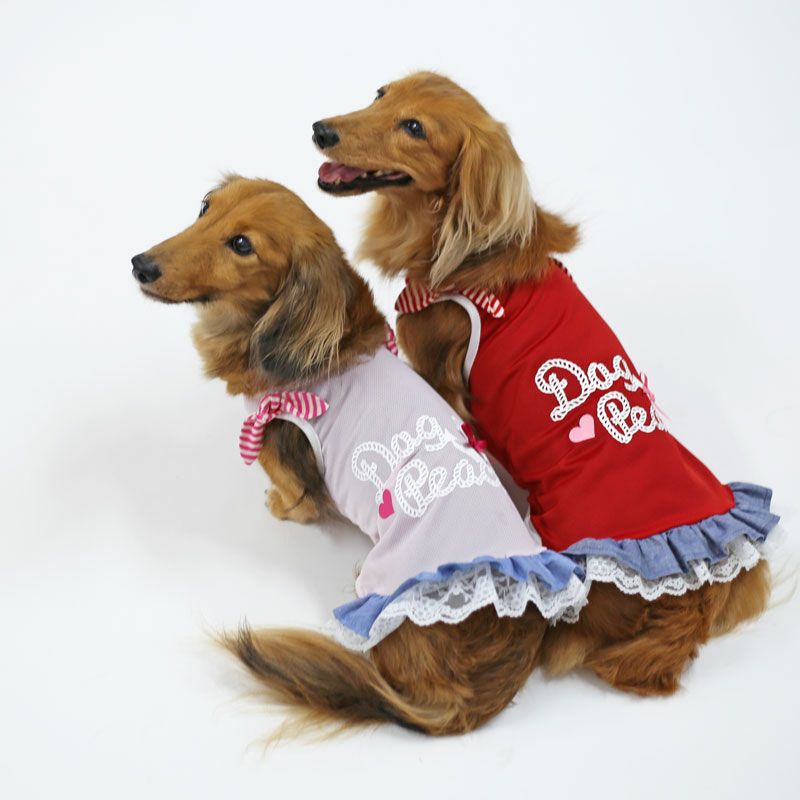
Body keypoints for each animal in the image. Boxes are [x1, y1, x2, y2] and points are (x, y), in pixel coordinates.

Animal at [132, 176, 591, 735]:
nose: (140, 264)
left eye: (242, 245)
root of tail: (464, 706)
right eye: (204, 208)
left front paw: (276, 506)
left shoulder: (282, 456)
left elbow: (297, 498)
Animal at [312, 72, 779, 695]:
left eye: (414, 128)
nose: (321, 130)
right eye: (380, 94)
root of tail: (693, 602)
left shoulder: (433, 370)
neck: (464, 256)